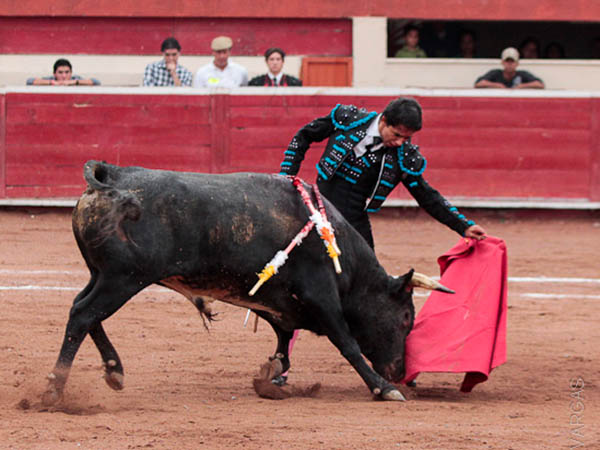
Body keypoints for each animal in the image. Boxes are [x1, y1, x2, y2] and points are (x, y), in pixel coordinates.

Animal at [42, 161, 452, 404]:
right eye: (405, 318)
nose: (400, 372)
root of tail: (113, 177)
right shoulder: (321, 296)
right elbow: (347, 342)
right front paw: (384, 389)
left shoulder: (281, 303)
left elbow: (284, 343)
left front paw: (270, 377)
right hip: (123, 278)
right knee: (83, 315)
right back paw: (54, 389)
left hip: (102, 275)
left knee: (83, 311)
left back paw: (114, 371)